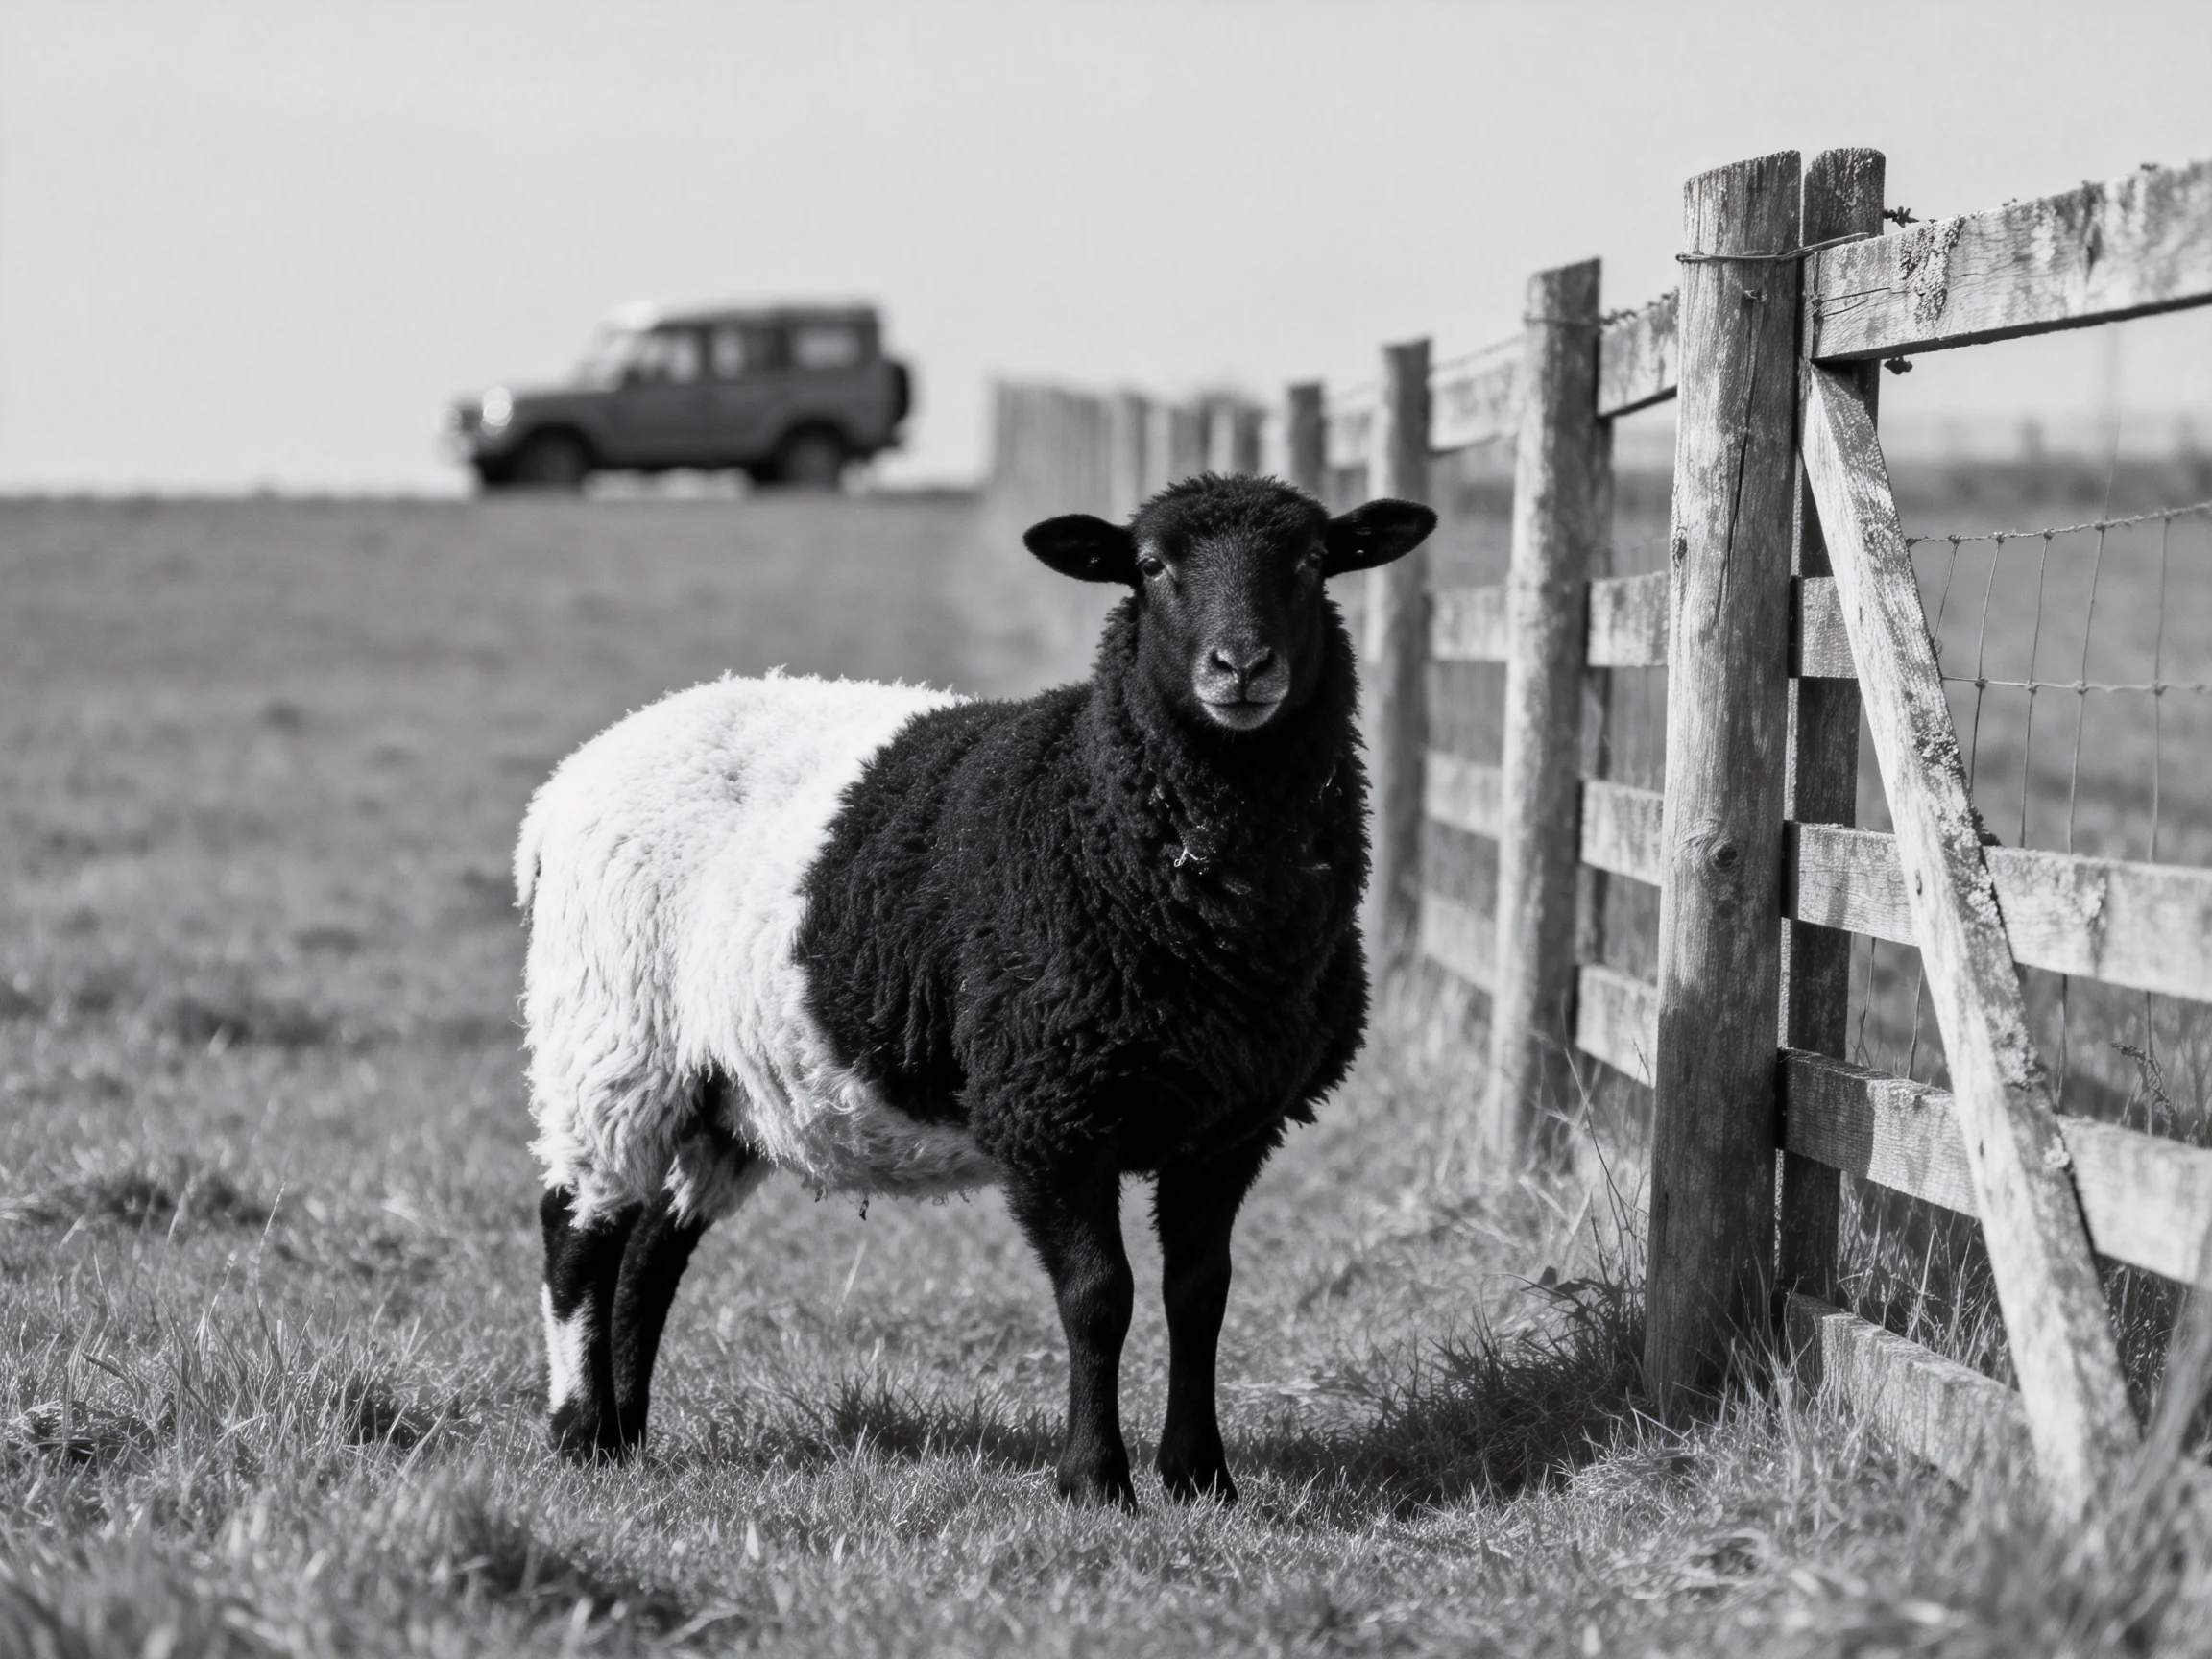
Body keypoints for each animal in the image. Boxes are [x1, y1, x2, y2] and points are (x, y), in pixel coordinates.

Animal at [517, 472, 1437, 1506]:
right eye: (1150, 566)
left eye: (1314, 562)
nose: (1241, 666)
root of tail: (567, 785)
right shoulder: (1047, 1107)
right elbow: (1099, 1297)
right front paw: (1094, 1481)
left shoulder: (1231, 1122)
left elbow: (1200, 1293)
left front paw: (1202, 1477)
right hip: (610, 1034)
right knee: (578, 1234)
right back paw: (575, 1431)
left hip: (720, 1089)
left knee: (651, 1251)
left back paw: (626, 1435)